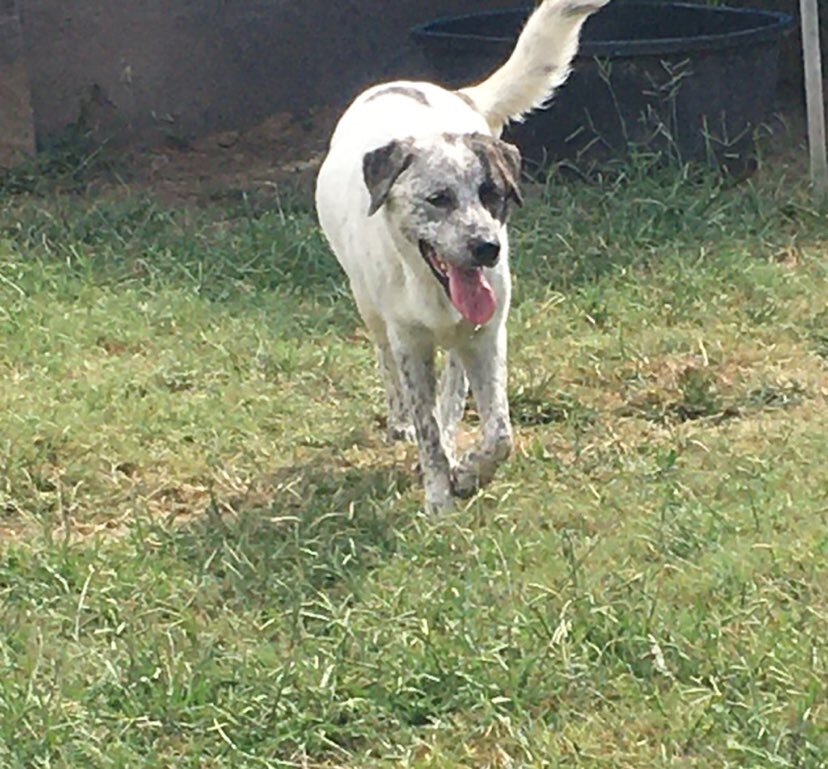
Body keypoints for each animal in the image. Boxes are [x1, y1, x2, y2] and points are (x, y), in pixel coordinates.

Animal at [316, 1, 608, 516]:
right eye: (439, 199)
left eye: (494, 195)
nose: (487, 248)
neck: (429, 287)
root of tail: (454, 94)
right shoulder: (410, 342)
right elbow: (427, 430)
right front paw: (438, 497)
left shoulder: (487, 335)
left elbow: (499, 434)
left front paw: (470, 471)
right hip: (367, 306)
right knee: (387, 363)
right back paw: (400, 422)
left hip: (461, 340)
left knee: (453, 392)